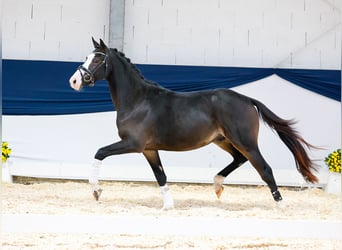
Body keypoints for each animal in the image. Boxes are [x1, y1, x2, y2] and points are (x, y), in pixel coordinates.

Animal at [69, 37, 318, 209]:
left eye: (98, 58)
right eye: (86, 57)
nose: (74, 81)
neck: (138, 100)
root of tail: (247, 99)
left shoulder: (134, 144)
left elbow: (100, 152)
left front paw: (96, 191)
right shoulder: (149, 149)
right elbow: (160, 175)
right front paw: (168, 206)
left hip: (245, 141)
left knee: (264, 169)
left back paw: (281, 205)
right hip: (223, 140)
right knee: (239, 159)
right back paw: (217, 185)